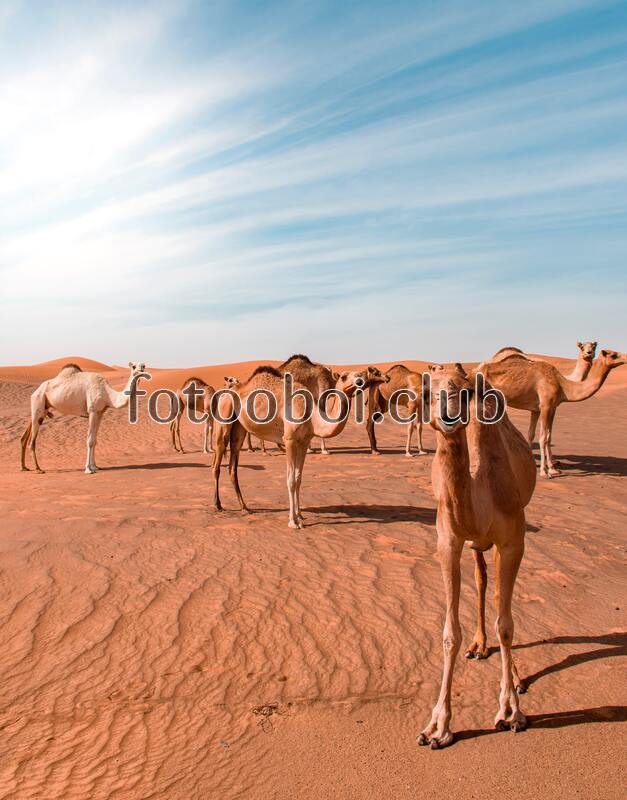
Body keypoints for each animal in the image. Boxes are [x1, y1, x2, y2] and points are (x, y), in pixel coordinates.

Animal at [19, 362, 147, 476]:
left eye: (143, 365)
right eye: (134, 366)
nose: (141, 369)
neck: (108, 394)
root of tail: (35, 391)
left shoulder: (100, 413)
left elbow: (95, 441)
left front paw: (95, 466)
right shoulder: (92, 411)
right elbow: (89, 441)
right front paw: (88, 469)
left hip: (43, 408)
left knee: (28, 431)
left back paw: (24, 467)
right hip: (38, 400)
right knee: (32, 440)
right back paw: (38, 469)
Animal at [212, 366, 388, 528]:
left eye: (360, 375)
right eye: (344, 377)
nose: (359, 382)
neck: (312, 414)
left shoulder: (303, 442)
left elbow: (298, 479)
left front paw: (300, 515)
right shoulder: (289, 440)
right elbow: (290, 480)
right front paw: (293, 521)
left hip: (239, 429)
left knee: (232, 467)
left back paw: (245, 507)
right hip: (224, 417)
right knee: (217, 463)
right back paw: (217, 505)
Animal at [420, 366, 536, 748]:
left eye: (464, 393)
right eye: (427, 393)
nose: (448, 416)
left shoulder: (513, 539)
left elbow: (507, 623)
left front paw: (511, 711)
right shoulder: (448, 541)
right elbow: (449, 634)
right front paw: (437, 727)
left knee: (499, 598)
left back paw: (514, 676)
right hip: (474, 544)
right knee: (482, 579)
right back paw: (479, 645)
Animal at [480, 348, 627, 478]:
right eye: (613, 354)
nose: (625, 357)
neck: (563, 385)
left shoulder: (544, 408)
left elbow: (542, 435)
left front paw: (551, 468)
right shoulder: (546, 405)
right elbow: (543, 438)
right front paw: (544, 472)